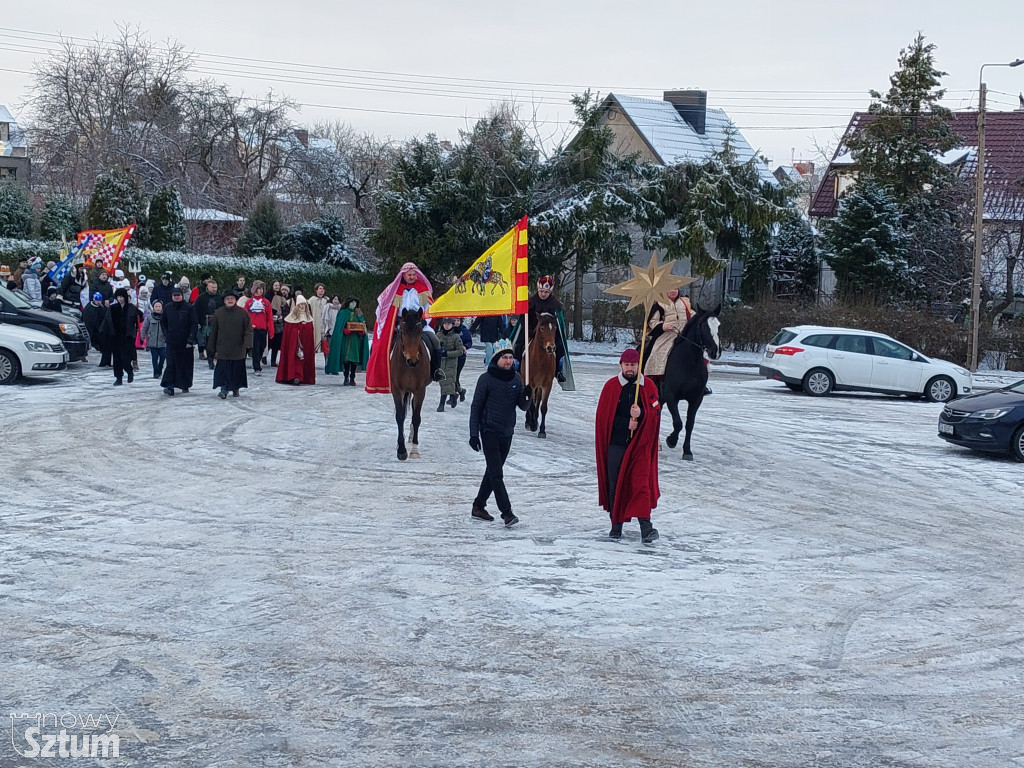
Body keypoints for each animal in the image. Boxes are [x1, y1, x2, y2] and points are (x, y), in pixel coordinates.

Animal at [387, 309, 428, 462]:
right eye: (402, 331)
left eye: (419, 331)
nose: (413, 360)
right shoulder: (397, 390)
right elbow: (400, 416)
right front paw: (401, 450)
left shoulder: (420, 390)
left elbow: (416, 418)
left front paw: (414, 450)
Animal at [659, 307, 724, 462]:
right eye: (704, 327)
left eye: (719, 326)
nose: (716, 352)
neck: (688, 362)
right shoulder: (670, 396)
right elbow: (678, 423)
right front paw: (671, 440)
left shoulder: (696, 398)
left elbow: (689, 424)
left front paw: (687, 450)